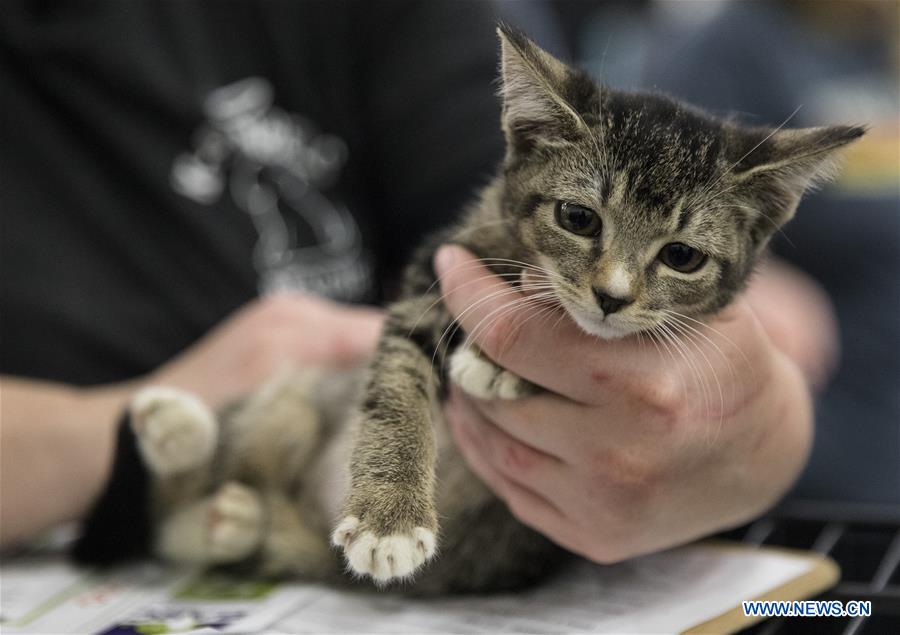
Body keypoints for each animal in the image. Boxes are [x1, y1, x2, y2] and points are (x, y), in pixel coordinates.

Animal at [75, 27, 864, 592]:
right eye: (578, 217)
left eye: (681, 257)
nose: (611, 296)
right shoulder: (434, 268)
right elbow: (397, 386)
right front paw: (390, 517)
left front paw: (498, 359)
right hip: (295, 402)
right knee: (175, 502)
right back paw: (176, 429)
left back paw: (227, 512)